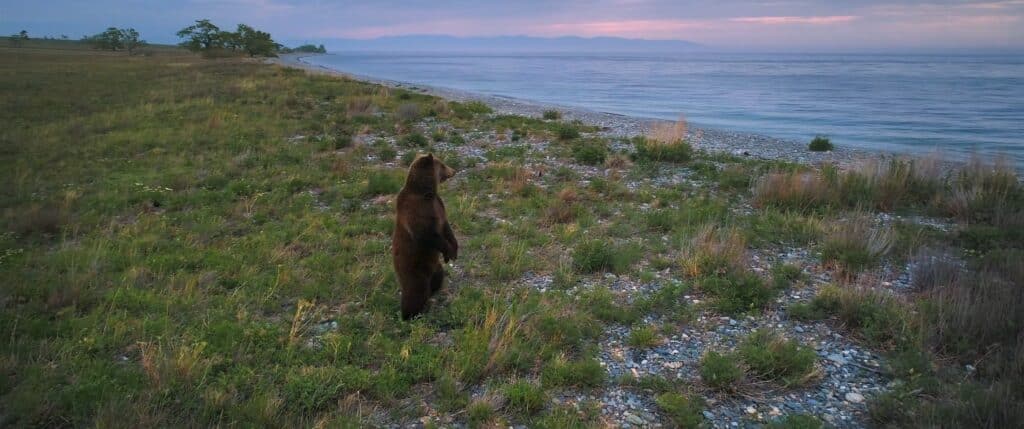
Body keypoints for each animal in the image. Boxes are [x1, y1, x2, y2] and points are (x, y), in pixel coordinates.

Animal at [389, 153, 458, 319]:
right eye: (443, 164)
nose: (453, 171)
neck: (426, 193)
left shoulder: (438, 206)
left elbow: (446, 227)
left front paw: (454, 250)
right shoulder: (416, 210)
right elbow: (426, 234)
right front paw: (449, 251)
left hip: (434, 266)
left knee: (438, 277)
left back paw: (433, 295)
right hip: (413, 271)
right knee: (415, 293)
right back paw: (409, 314)